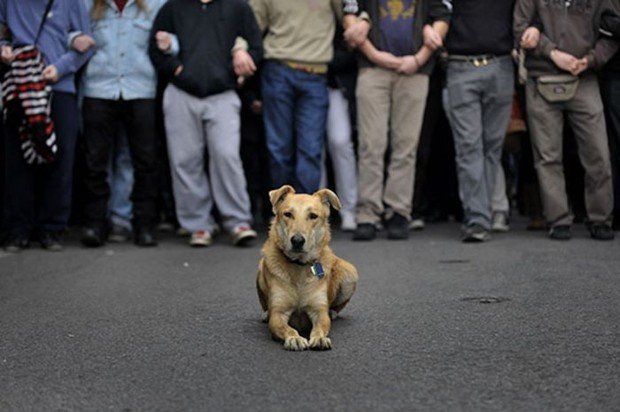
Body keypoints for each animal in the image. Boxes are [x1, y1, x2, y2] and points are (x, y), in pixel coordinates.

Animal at [256, 185, 358, 350]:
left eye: (313, 216)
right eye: (288, 214)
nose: (297, 240)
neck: (299, 266)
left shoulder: (319, 311)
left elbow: (320, 326)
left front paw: (320, 338)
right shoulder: (278, 314)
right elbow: (287, 328)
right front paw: (294, 338)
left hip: (350, 273)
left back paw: (333, 312)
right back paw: (265, 313)